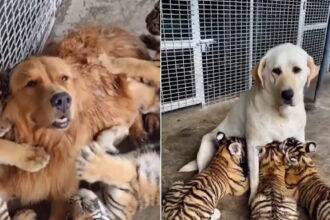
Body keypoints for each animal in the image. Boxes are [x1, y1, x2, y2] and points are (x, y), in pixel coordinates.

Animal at [0, 26, 159, 219]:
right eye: (30, 83)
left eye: (64, 78)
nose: (63, 100)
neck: (48, 141)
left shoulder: (65, 190)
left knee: (137, 109)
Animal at [180, 43, 320, 203]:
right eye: (276, 71)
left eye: (297, 69)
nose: (287, 94)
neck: (281, 114)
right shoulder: (253, 145)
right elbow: (254, 178)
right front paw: (253, 199)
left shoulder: (298, 139)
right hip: (205, 149)